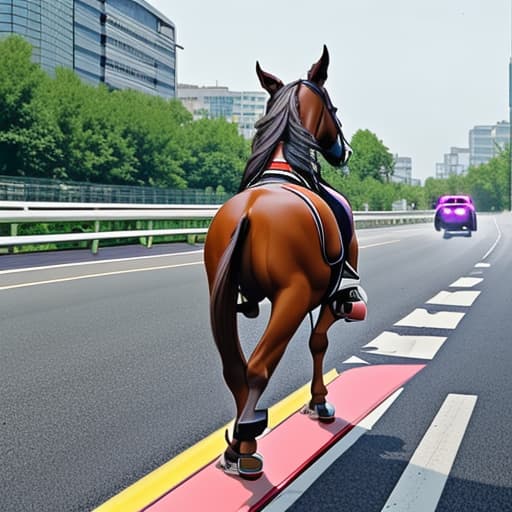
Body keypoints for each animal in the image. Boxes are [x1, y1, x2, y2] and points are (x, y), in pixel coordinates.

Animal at [202, 45, 366, 480]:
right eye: (334, 107)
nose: (344, 151)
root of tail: (250, 212)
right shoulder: (324, 294)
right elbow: (318, 341)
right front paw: (320, 401)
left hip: (225, 298)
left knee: (236, 368)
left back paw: (236, 445)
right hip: (292, 299)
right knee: (258, 366)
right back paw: (246, 448)